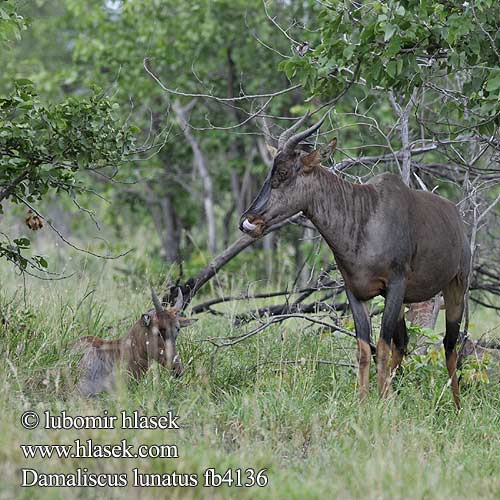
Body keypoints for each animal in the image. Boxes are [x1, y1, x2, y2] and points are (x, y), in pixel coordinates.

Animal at [240, 115, 470, 408]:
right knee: (403, 343)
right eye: (271, 171)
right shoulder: (356, 291)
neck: (366, 214)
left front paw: (380, 405)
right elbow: (363, 348)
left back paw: (457, 406)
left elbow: (381, 347)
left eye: (284, 173)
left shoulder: (395, 285)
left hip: (455, 287)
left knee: (450, 345)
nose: (248, 221)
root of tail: (456, 217)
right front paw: (363, 403)